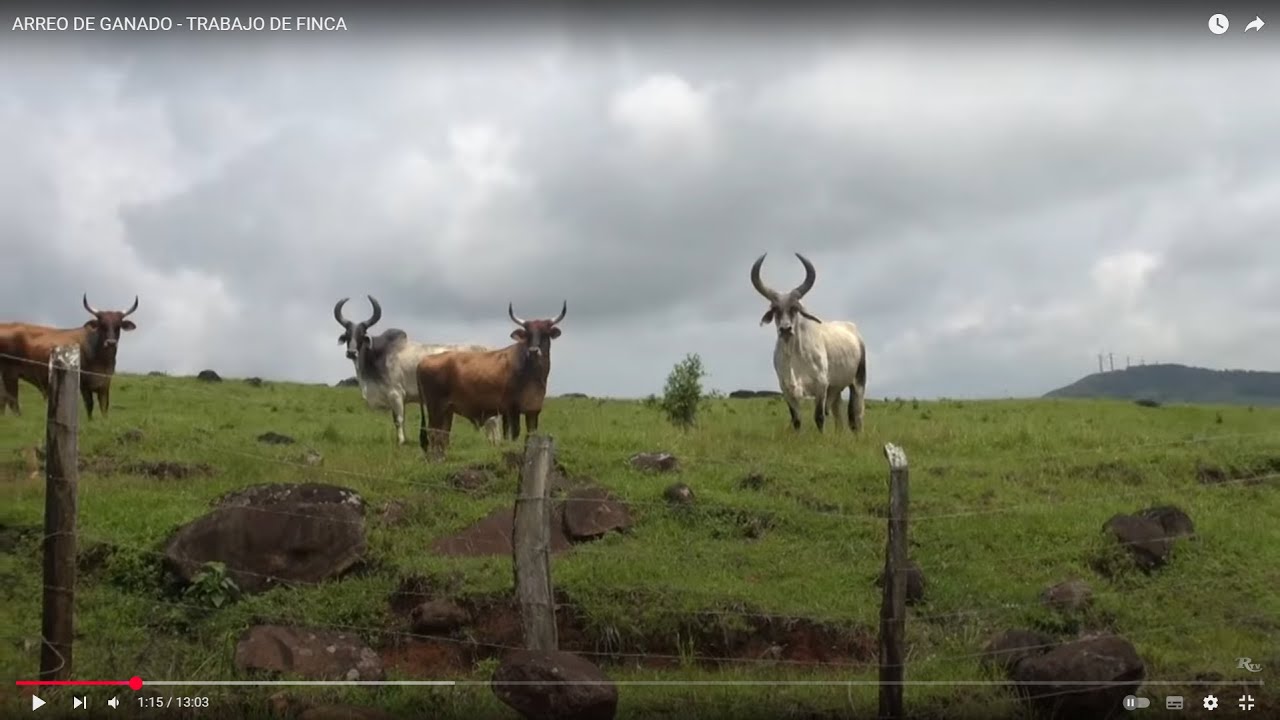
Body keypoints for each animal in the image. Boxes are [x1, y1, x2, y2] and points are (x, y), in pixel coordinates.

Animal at [0, 295, 139, 418]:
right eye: (102, 325)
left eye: (118, 326)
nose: (111, 343)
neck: (102, 360)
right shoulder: (84, 384)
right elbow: (89, 405)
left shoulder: (105, 384)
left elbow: (104, 407)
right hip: (10, 373)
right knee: (12, 401)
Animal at [333, 295, 501, 446]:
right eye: (347, 335)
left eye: (362, 334)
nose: (351, 353)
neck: (379, 355)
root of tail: (491, 350)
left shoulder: (395, 393)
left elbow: (398, 420)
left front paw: (401, 441)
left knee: (492, 421)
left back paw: (493, 443)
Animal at [416, 301, 566, 457]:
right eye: (528, 334)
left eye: (545, 333)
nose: (533, 351)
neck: (533, 374)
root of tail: (424, 360)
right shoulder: (512, 409)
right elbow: (514, 435)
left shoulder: (533, 410)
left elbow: (530, 436)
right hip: (435, 408)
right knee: (434, 433)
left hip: (447, 410)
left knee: (443, 434)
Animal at [750, 253, 866, 433]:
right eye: (775, 309)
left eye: (795, 308)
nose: (785, 329)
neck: (794, 355)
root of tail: (854, 332)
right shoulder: (787, 390)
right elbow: (796, 420)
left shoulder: (821, 387)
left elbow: (819, 417)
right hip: (836, 388)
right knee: (838, 415)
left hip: (858, 382)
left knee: (856, 417)